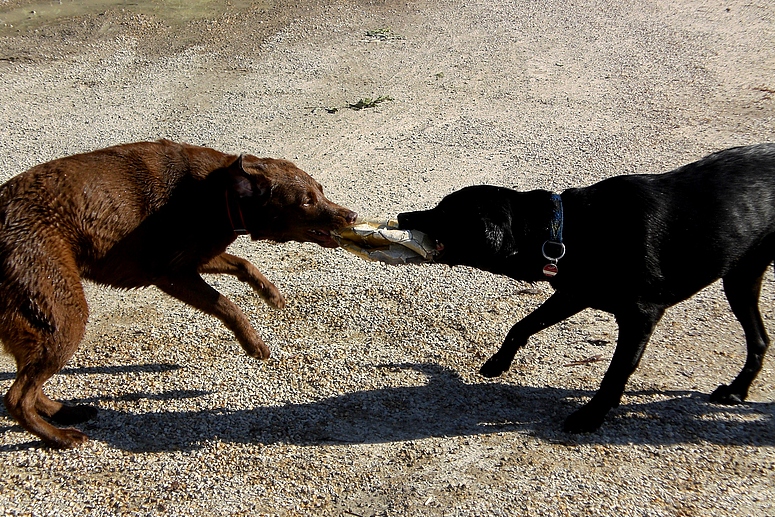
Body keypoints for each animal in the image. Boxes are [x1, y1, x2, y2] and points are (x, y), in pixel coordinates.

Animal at [0, 139, 358, 446]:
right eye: (307, 201)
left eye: (321, 190)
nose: (351, 215)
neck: (220, 194)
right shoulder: (171, 273)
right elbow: (225, 303)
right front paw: (254, 344)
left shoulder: (195, 257)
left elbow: (243, 264)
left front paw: (271, 294)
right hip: (62, 307)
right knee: (16, 396)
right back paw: (60, 437)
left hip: (37, 319)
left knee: (28, 383)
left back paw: (64, 411)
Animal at [400, 144, 775, 432]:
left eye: (444, 212)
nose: (403, 216)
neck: (569, 230)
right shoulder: (573, 294)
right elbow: (522, 325)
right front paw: (498, 362)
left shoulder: (641, 317)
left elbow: (617, 370)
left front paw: (591, 415)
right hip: (740, 279)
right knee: (759, 339)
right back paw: (736, 391)